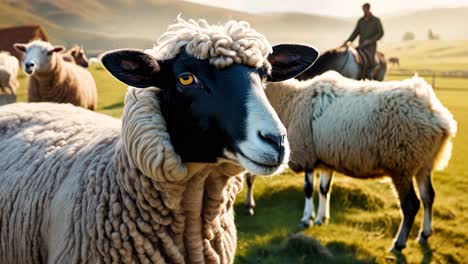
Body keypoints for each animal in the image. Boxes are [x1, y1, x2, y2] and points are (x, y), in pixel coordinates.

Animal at [245, 70, 458, 252]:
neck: (291, 99)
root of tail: (439, 117)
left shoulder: (307, 154)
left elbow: (308, 190)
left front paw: (307, 219)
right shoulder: (326, 159)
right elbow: (324, 189)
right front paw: (322, 218)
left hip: (402, 164)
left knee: (411, 205)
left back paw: (398, 244)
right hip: (424, 164)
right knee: (428, 197)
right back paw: (424, 234)